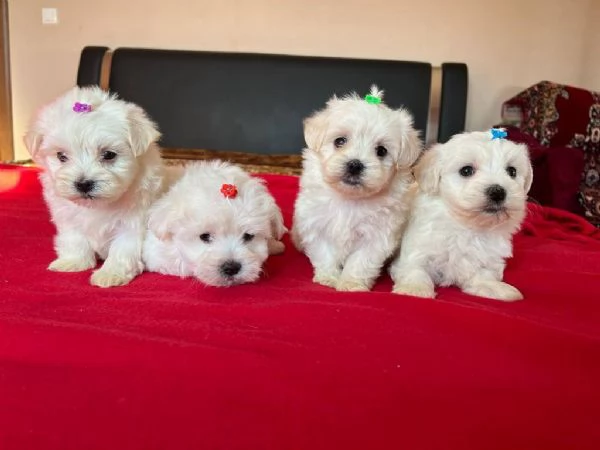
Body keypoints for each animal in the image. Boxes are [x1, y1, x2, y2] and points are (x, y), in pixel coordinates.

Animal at [24, 86, 164, 286]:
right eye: (61, 156)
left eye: (109, 154)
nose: (83, 184)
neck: (97, 206)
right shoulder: (68, 218)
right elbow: (74, 238)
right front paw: (73, 261)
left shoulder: (133, 222)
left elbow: (122, 247)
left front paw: (111, 274)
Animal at [292, 85, 422, 292]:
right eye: (340, 141)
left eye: (381, 151)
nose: (355, 165)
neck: (350, 199)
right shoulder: (316, 225)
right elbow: (325, 254)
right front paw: (328, 278)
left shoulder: (377, 236)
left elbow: (361, 262)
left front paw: (351, 284)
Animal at [390, 128, 536, 300]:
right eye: (466, 171)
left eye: (512, 171)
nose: (498, 192)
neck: (466, 226)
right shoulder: (417, 249)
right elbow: (415, 269)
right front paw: (414, 289)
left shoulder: (487, 259)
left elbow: (483, 275)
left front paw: (496, 288)